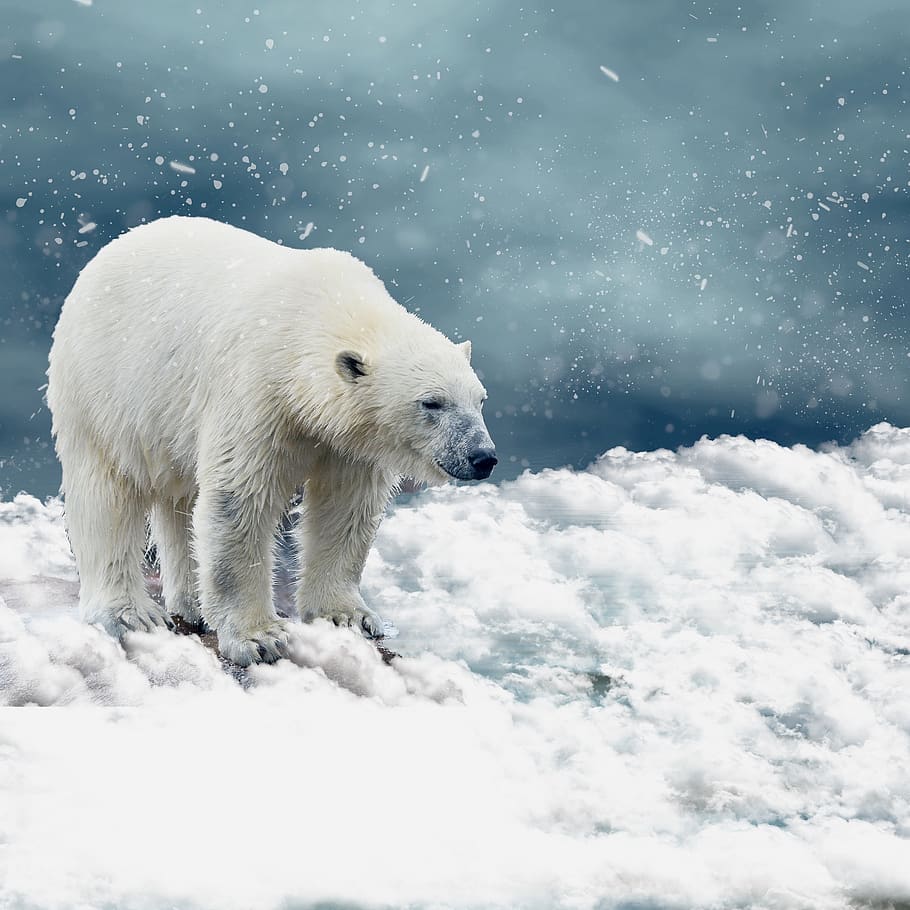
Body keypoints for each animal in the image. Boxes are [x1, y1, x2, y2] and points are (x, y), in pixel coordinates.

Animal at [46, 216, 496, 666]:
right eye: (431, 402)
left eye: (480, 400)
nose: (482, 457)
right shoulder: (256, 392)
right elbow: (239, 501)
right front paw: (259, 638)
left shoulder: (348, 441)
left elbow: (346, 509)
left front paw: (349, 616)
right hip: (105, 393)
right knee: (106, 495)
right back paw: (131, 613)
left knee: (181, 500)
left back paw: (192, 604)